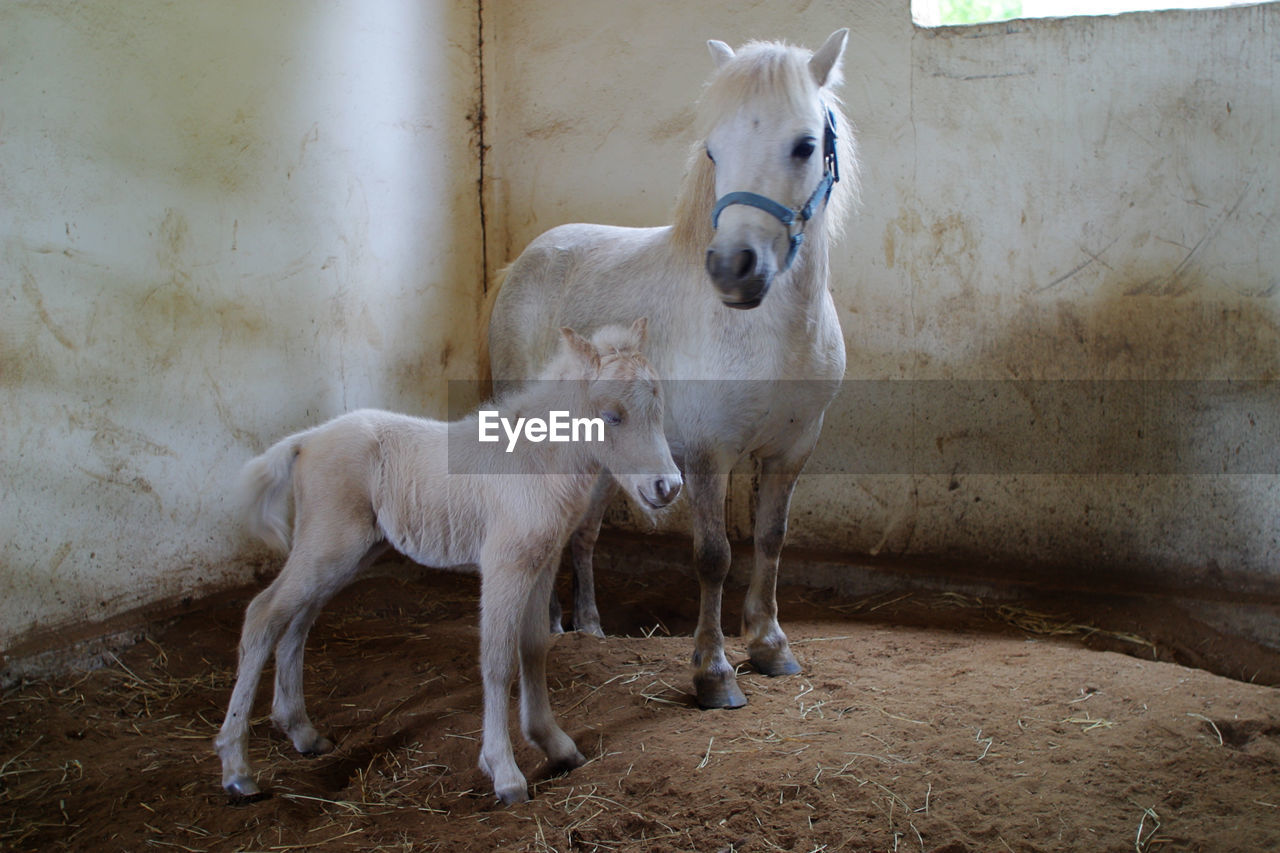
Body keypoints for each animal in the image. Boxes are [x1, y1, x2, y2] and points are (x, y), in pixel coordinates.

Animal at [215, 318, 686, 804]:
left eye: (658, 408)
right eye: (611, 416)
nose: (667, 487)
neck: (534, 459)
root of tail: (306, 441)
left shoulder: (540, 563)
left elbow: (534, 649)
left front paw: (555, 745)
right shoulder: (504, 565)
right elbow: (498, 660)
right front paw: (505, 773)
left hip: (348, 552)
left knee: (297, 621)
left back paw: (303, 734)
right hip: (330, 544)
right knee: (264, 614)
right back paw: (238, 770)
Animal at [488, 29, 860, 706]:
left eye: (804, 145)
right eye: (713, 149)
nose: (733, 269)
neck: (767, 333)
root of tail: (523, 261)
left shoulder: (791, 450)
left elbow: (771, 539)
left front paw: (771, 646)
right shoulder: (707, 454)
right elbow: (713, 556)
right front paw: (713, 673)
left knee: (580, 533)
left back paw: (583, 626)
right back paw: (546, 627)